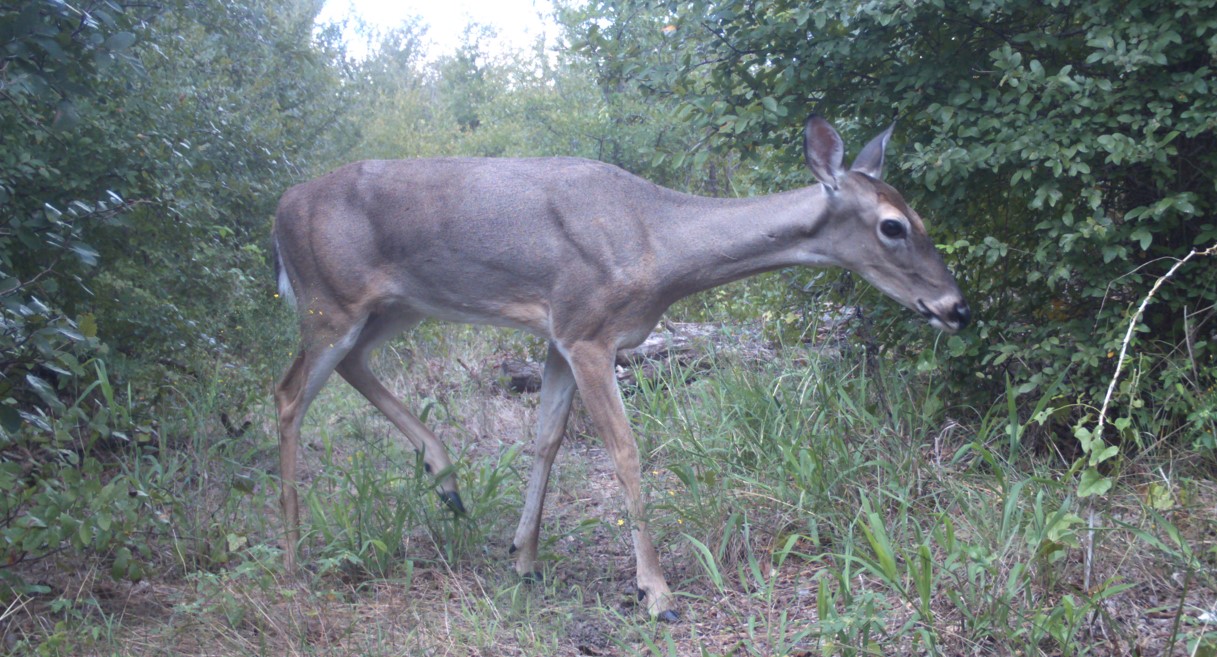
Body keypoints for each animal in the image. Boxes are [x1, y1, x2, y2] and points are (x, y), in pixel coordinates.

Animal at [273, 115, 968, 622]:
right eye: (893, 226)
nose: (956, 308)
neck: (658, 241)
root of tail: (281, 210)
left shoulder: (558, 333)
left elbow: (547, 439)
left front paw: (522, 558)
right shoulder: (588, 330)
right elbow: (627, 452)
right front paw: (655, 593)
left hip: (391, 307)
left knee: (349, 366)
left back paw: (445, 479)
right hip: (328, 301)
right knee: (287, 394)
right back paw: (293, 555)